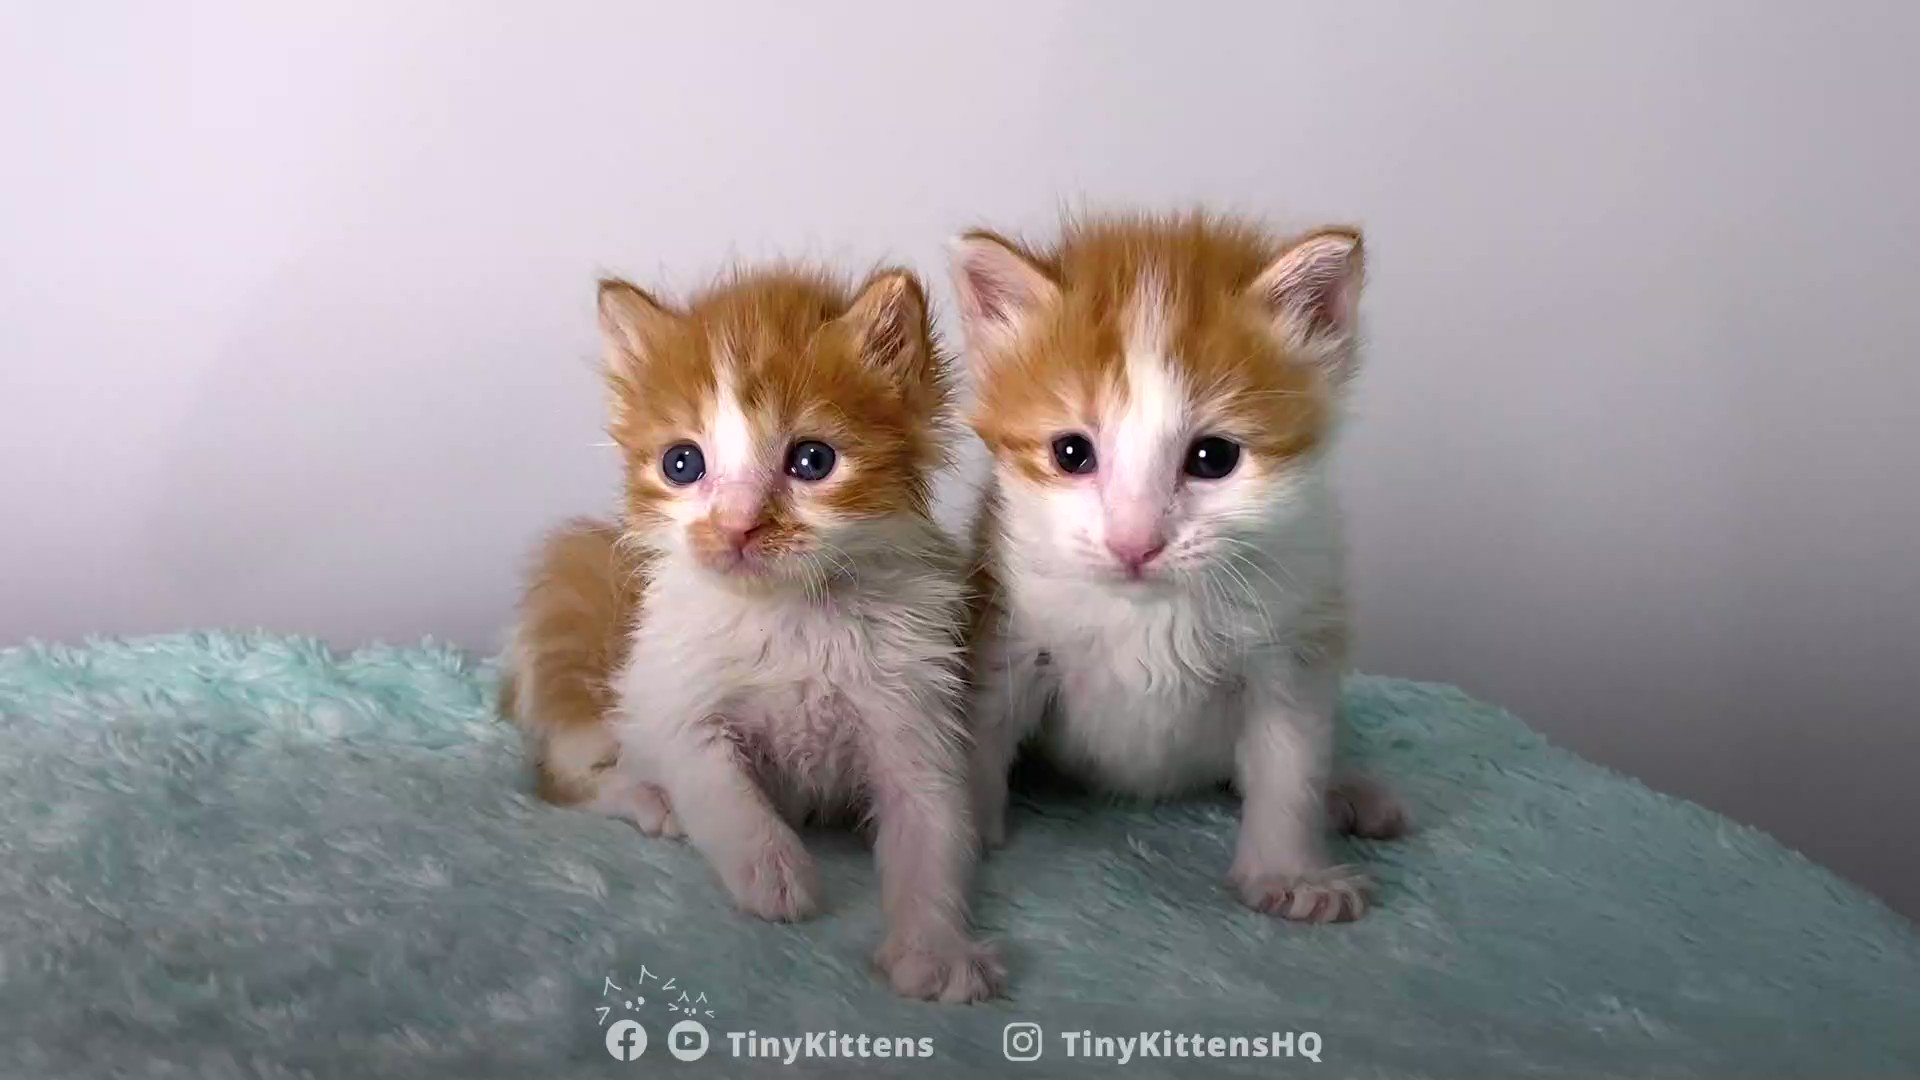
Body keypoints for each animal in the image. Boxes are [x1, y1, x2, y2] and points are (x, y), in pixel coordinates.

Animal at [503, 263, 998, 999]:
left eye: (812, 460)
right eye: (682, 464)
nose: (738, 527)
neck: (790, 613)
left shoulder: (915, 711)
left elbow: (933, 829)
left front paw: (934, 948)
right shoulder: (667, 689)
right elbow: (716, 782)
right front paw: (771, 869)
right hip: (576, 606)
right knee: (561, 777)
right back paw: (648, 799)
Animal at [960, 214, 1413, 922]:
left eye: (1213, 456)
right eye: (1071, 453)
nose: (1135, 543)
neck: (1150, 613)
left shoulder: (1295, 641)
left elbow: (1291, 763)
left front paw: (1291, 872)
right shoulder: (1008, 625)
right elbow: (983, 728)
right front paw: (957, 838)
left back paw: (1349, 792)